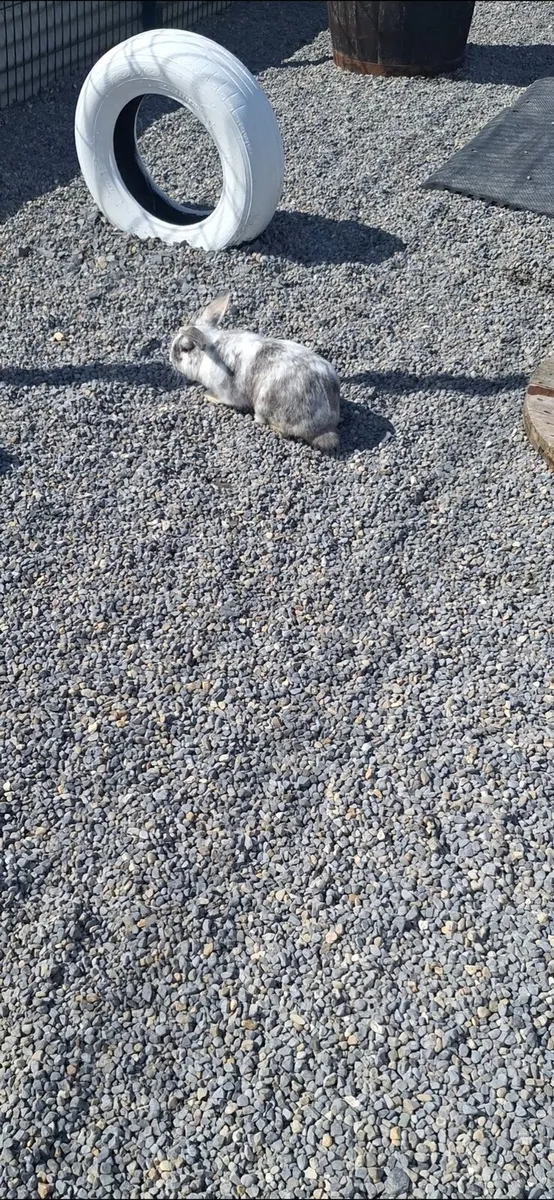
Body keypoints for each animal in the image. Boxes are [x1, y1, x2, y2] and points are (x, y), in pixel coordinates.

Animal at [170, 292, 340, 452]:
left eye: (185, 348)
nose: (171, 358)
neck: (208, 354)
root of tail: (325, 425)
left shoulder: (225, 392)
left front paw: (208, 395)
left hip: (265, 404)